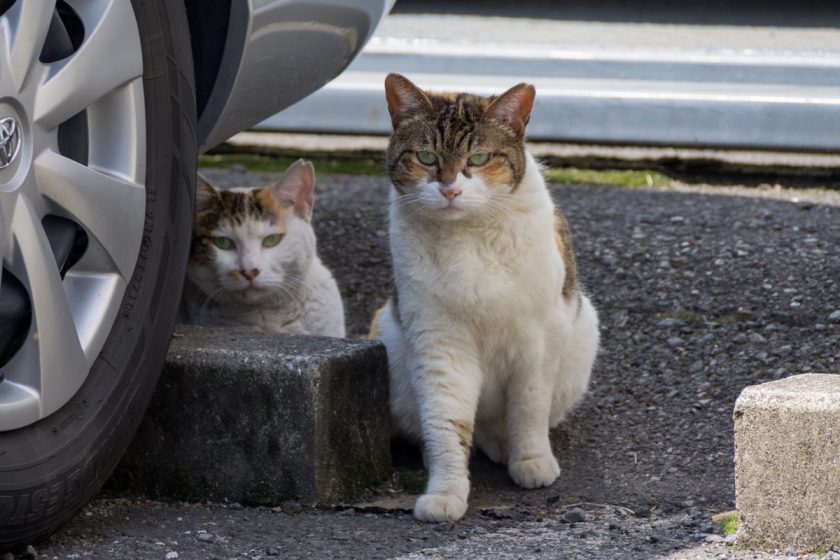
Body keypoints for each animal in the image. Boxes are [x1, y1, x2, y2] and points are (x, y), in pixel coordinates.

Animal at [370, 73, 600, 520]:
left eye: (477, 158)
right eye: (426, 157)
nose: (449, 189)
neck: (468, 234)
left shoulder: (539, 337)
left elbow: (529, 408)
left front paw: (531, 460)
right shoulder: (439, 340)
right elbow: (447, 422)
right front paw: (445, 491)